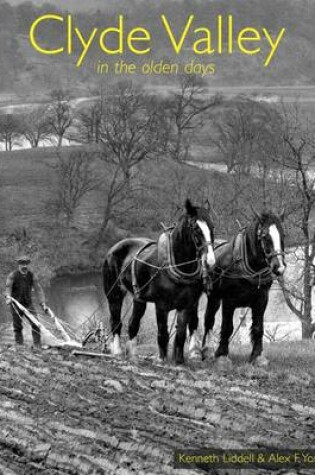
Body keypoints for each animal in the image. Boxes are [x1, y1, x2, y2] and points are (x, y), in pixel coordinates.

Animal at [103, 199, 217, 366]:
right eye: (195, 228)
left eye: (212, 226)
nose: (210, 261)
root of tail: (115, 246)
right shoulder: (161, 306)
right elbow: (163, 333)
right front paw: (161, 359)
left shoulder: (185, 305)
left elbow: (181, 334)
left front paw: (179, 360)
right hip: (114, 295)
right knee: (115, 321)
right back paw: (117, 351)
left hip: (139, 299)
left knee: (133, 324)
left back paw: (132, 355)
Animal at [202, 210, 286, 366]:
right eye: (265, 236)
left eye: (283, 235)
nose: (279, 267)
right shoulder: (229, 300)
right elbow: (227, 327)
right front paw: (222, 355)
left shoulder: (262, 299)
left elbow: (258, 328)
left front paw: (257, 356)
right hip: (213, 297)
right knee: (207, 320)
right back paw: (204, 351)